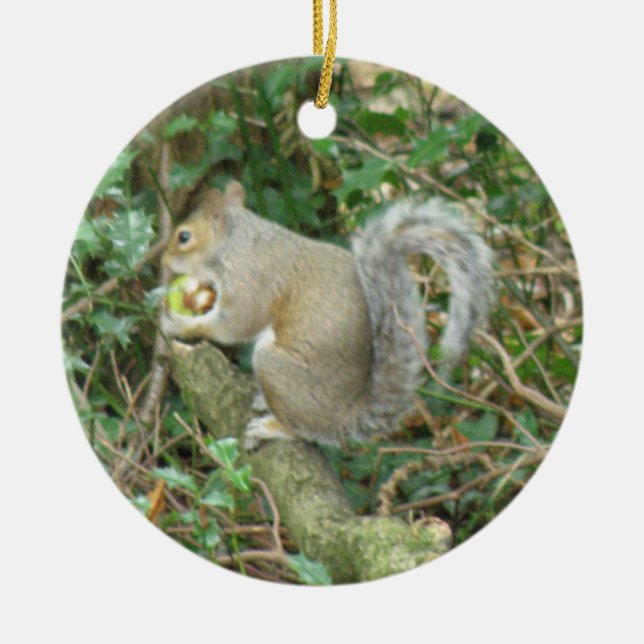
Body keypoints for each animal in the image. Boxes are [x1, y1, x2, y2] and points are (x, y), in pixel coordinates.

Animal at [161, 181, 494, 448]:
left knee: (304, 430)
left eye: (184, 237)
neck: (237, 244)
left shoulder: (251, 281)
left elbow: (234, 325)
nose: (163, 260)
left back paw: (273, 427)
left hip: (274, 368)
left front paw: (179, 324)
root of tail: (343, 418)